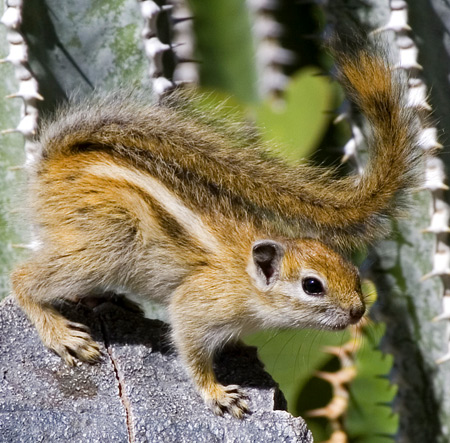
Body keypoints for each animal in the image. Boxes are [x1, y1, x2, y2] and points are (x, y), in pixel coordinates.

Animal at [11, 41, 422, 420]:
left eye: (354, 273)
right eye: (312, 285)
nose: (357, 311)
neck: (246, 279)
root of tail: (54, 164)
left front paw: (239, 349)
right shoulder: (194, 307)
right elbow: (191, 353)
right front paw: (217, 393)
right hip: (104, 243)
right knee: (22, 279)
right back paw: (62, 334)